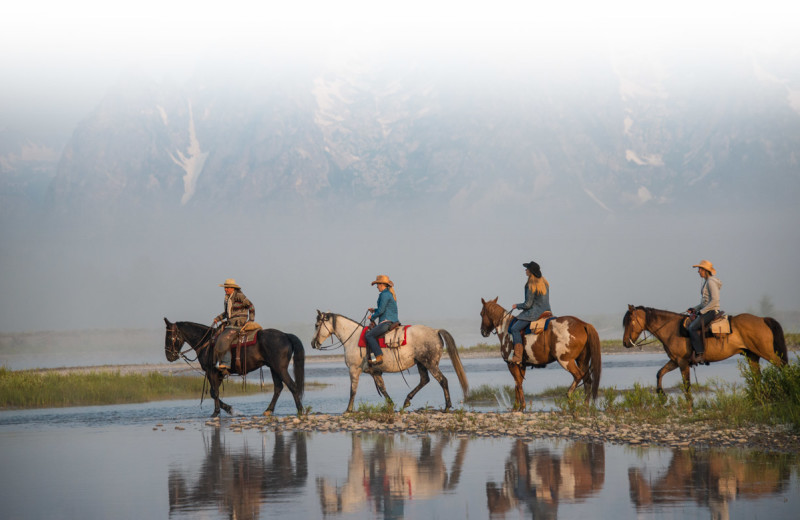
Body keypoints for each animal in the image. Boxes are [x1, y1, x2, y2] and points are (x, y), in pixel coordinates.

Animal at [164, 318, 304, 416]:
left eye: (169, 337)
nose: (169, 356)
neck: (206, 342)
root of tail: (286, 335)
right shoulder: (219, 373)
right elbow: (213, 393)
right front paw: (230, 409)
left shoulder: (211, 371)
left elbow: (215, 392)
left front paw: (216, 412)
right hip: (273, 368)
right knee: (278, 387)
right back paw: (268, 410)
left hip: (280, 368)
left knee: (292, 386)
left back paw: (301, 411)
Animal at [308, 310, 468, 412]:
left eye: (316, 325)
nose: (313, 344)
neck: (352, 338)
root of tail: (435, 331)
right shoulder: (375, 372)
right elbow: (383, 388)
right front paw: (391, 405)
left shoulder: (353, 370)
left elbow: (352, 390)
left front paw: (348, 410)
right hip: (421, 363)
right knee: (424, 380)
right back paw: (407, 400)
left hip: (430, 363)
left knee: (442, 380)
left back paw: (447, 407)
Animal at [620, 304, 788, 398]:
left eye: (630, 321)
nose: (625, 343)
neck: (672, 330)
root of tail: (762, 319)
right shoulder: (675, 361)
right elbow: (659, 373)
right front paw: (661, 394)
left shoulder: (682, 362)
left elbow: (687, 385)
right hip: (752, 355)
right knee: (757, 377)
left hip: (767, 353)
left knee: (783, 367)